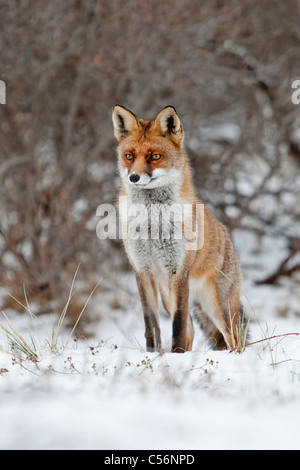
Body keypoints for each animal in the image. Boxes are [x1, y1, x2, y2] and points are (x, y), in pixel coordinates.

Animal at [111, 103, 247, 352]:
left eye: (155, 156)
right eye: (129, 156)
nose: (134, 177)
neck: (152, 223)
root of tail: (228, 237)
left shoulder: (179, 272)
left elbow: (178, 324)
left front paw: (175, 354)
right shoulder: (142, 270)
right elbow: (151, 324)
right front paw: (155, 353)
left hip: (217, 306)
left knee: (233, 339)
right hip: (168, 295)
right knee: (192, 332)